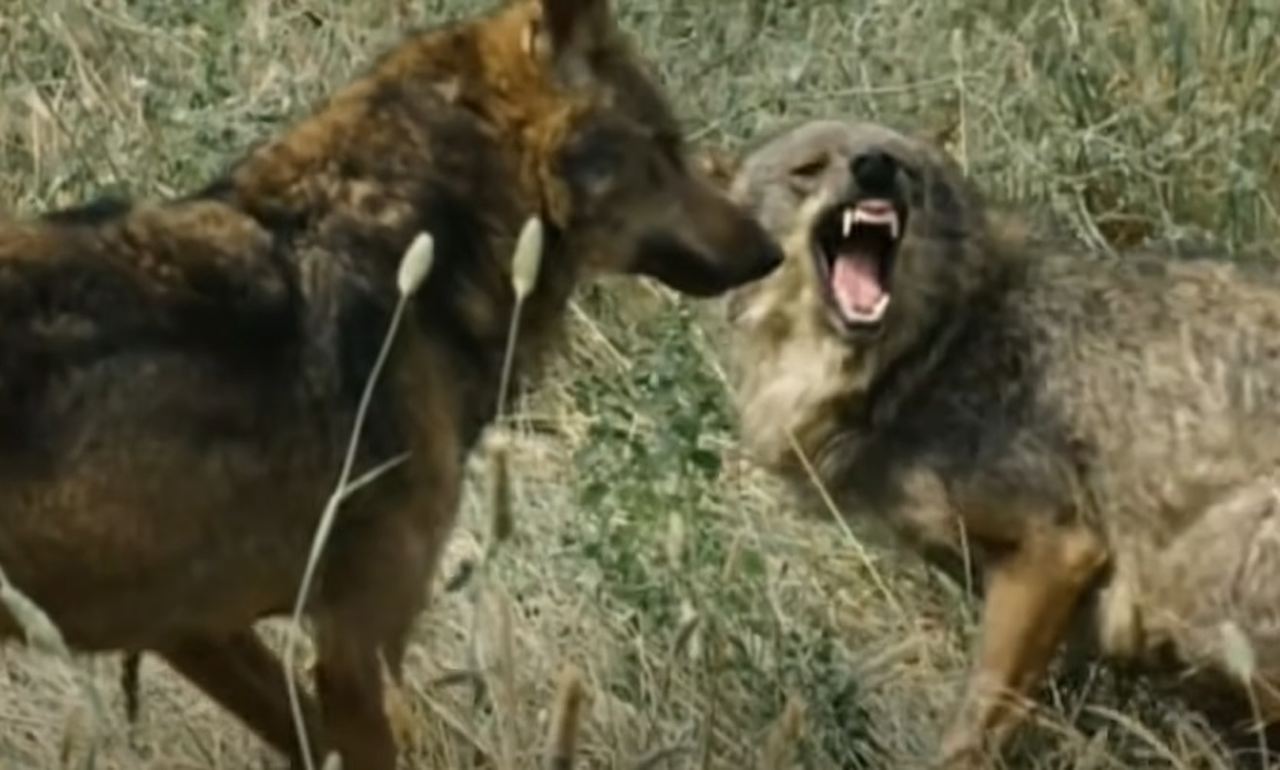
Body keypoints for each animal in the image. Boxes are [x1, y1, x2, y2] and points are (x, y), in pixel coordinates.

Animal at [0, 1, 782, 767]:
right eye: (666, 145)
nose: (774, 252)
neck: (401, 242)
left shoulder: (197, 629)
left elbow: (306, 739)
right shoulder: (358, 650)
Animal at [724, 118, 1280, 767]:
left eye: (901, 166)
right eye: (808, 170)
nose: (874, 168)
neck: (939, 345)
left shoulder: (1054, 550)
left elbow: (971, 727)